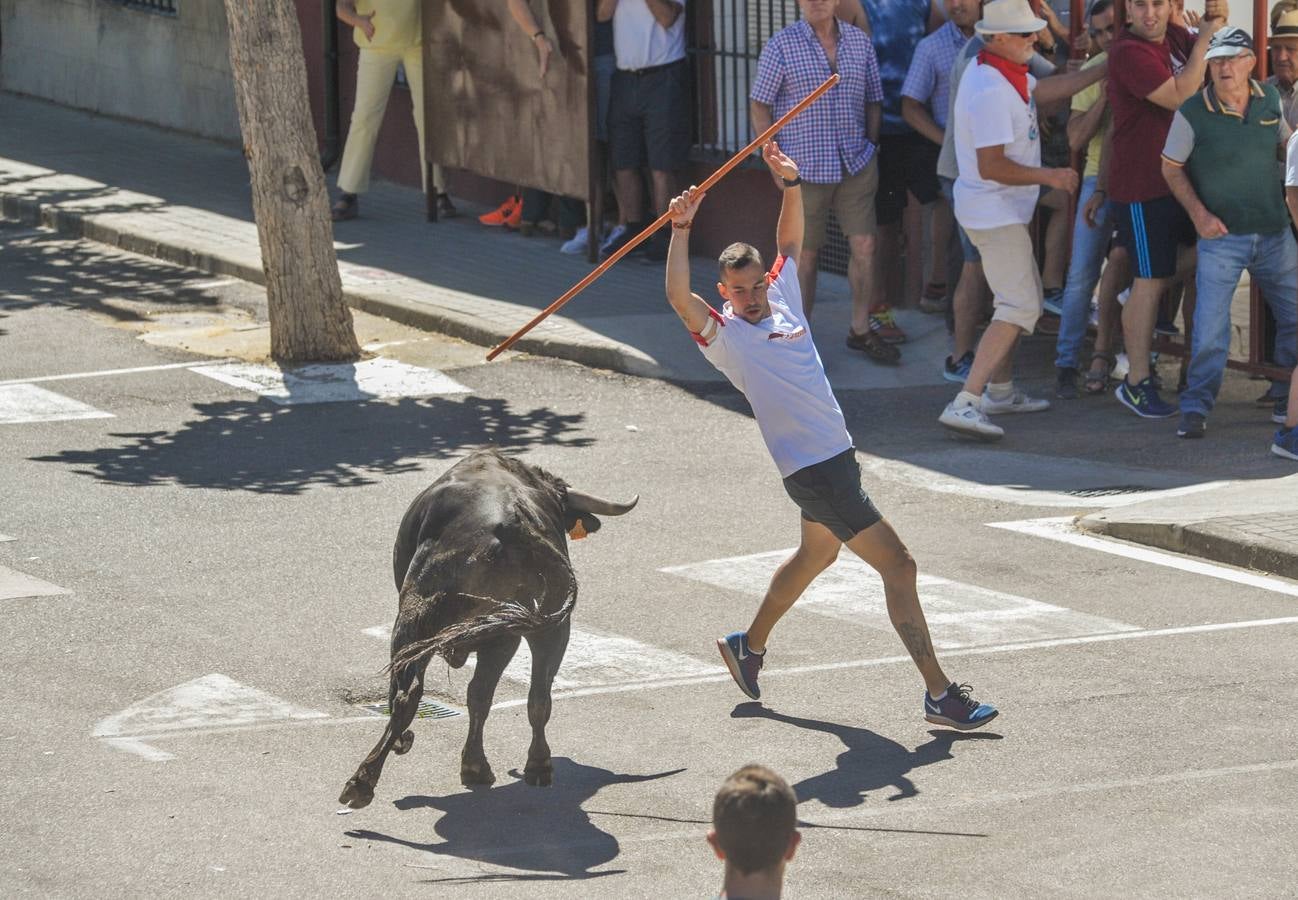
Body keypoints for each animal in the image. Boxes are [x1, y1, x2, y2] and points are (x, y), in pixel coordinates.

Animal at [337, 449, 636, 805]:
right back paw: (534, 767)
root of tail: (514, 527)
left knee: (408, 695)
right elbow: (482, 695)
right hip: (541, 630)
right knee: (532, 697)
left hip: (420, 624)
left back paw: (367, 779)